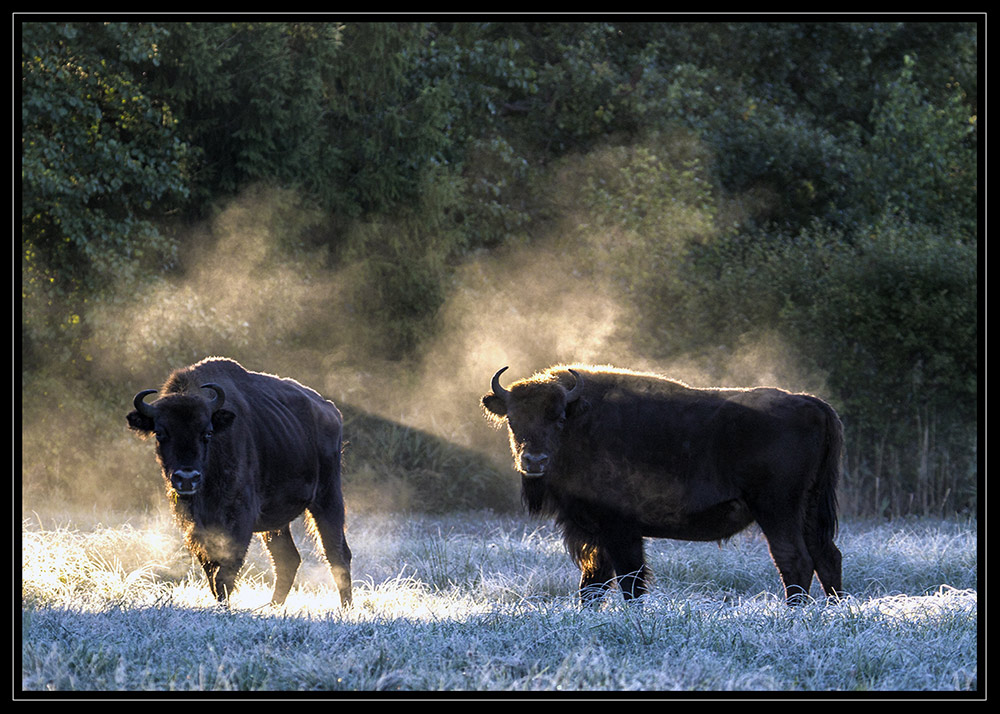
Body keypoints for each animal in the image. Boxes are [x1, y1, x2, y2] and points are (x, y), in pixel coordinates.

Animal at [126, 356, 352, 608]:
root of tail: (330, 411)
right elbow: (211, 569)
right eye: (160, 433)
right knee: (287, 559)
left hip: (327, 498)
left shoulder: (240, 516)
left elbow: (226, 570)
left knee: (337, 553)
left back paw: (345, 608)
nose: (187, 478)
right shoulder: (198, 524)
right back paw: (273, 606)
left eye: (207, 433)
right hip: (277, 522)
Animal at [484, 364, 844, 604]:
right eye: (513, 421)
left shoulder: (619, 529)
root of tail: (813, 404)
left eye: (558, 418)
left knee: (795, 560)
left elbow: (629, 581)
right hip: (810, 509)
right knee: (827, 556)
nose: (534, 461)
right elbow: (592, 585)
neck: (580, 421)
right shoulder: (594, 534)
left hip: (777, 510)